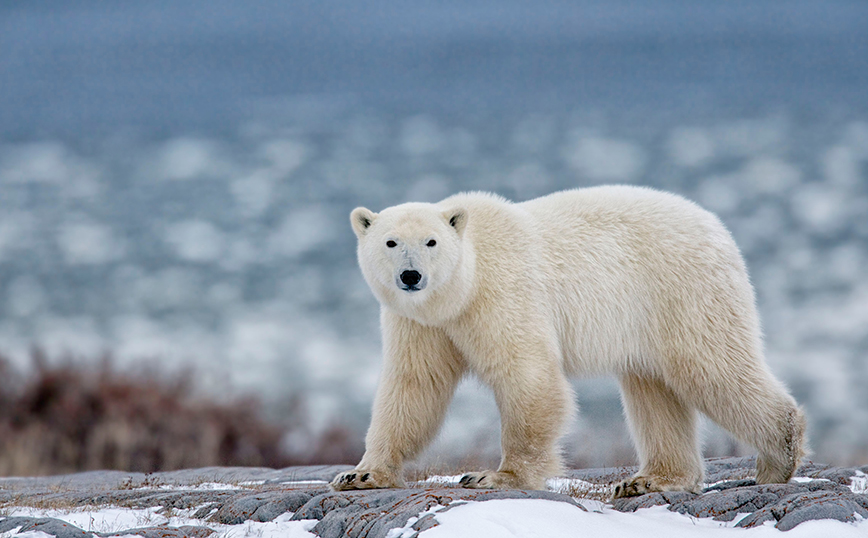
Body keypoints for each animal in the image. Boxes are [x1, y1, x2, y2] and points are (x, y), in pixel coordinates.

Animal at [332, 184, 808, 494]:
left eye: (431, 242)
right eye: (391, 242)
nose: (411, 276)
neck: (463, 286)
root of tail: (717, 228)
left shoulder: (503, 295)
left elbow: (527, 376)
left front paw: (495, 476)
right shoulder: (420, 323)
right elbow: (414, 387)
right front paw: (360, 474)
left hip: (683, 292)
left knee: (712, 368)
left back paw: (778, 458)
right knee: (654, 391)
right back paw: (649, 480)